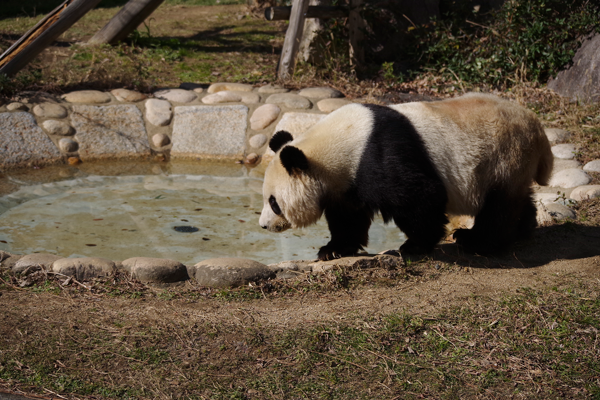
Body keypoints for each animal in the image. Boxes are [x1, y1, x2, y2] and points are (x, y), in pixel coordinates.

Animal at [260, 92, 556, 260]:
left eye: (273, 202)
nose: (263, 226)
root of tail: (537, 128)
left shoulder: (378, 155)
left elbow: (419, 196)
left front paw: (414, 247)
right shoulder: (346, 181)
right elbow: (348, 217)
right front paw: (332, 249)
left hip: (501, 157)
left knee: (497, 207)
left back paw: (477, 241)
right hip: (512, 164)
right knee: (516, 199)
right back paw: (523, 228)